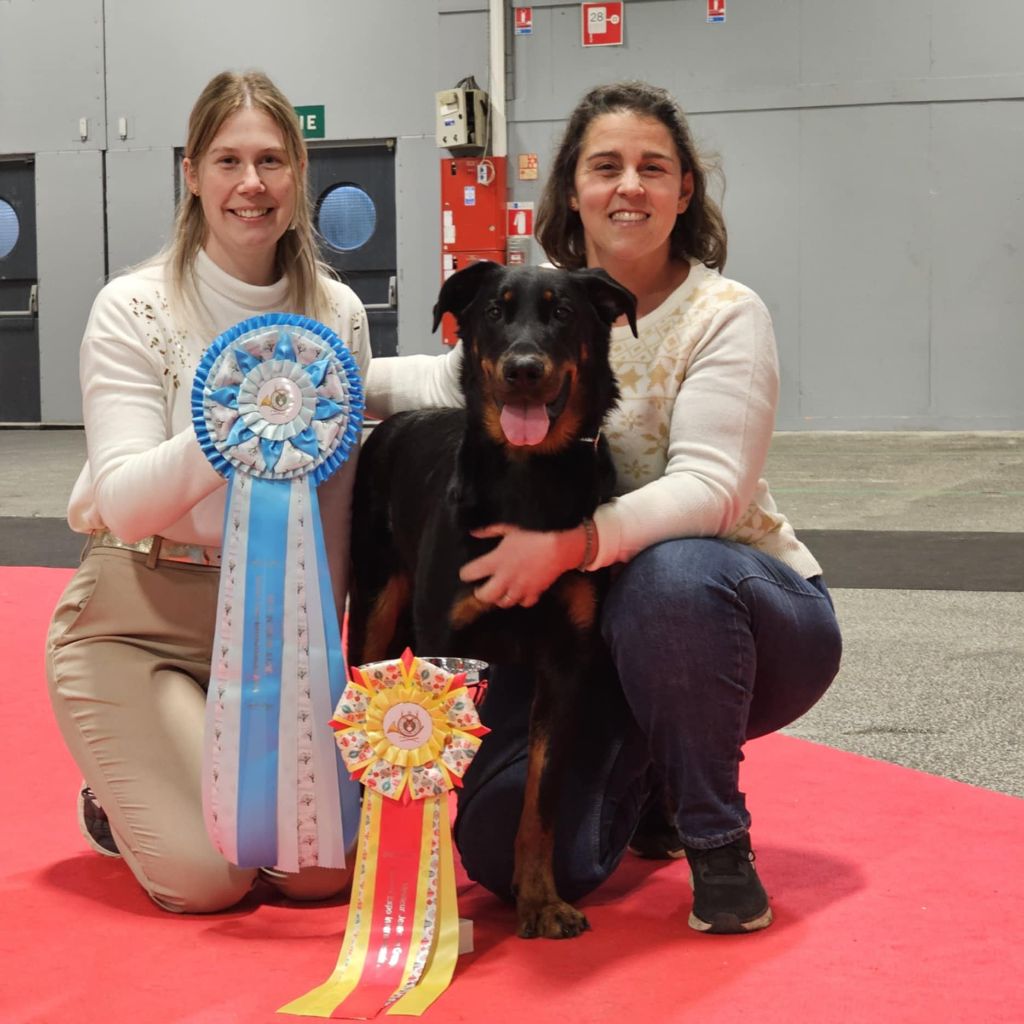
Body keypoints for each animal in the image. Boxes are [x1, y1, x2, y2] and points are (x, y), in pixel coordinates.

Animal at [352, 260, 634, 937]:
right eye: (494, 311)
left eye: (563, 313)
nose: (524, 367)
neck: (527, 481)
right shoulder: (440, 649)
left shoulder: (566, 664)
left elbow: (540, 800)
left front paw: (540, 899)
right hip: (373, 601)